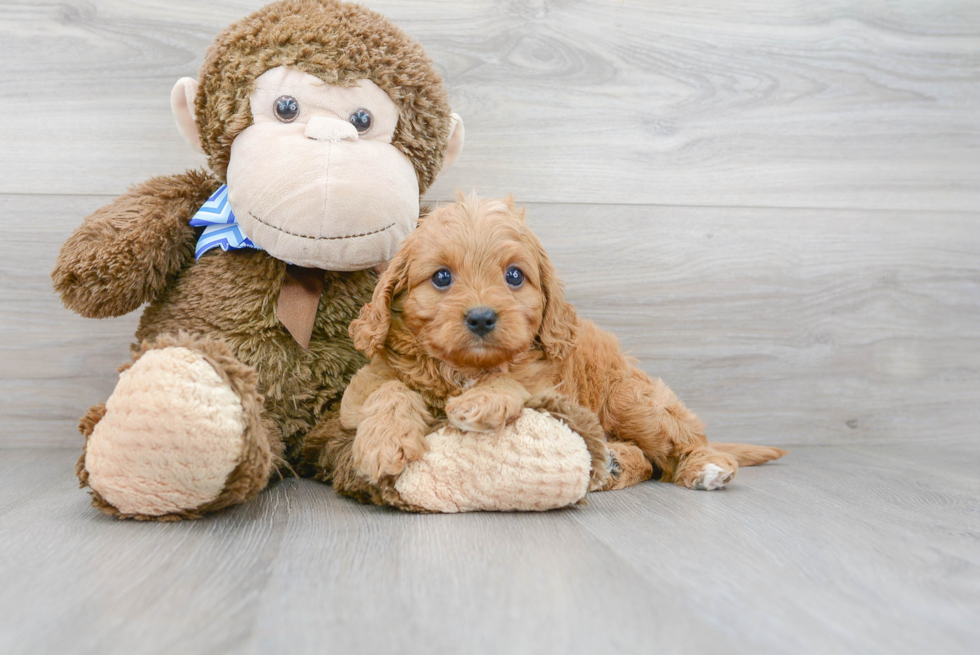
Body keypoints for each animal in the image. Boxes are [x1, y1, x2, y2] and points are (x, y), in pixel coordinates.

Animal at [340, 195, 784, 492]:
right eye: (442, 277)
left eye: (514, 276)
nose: (481, 317)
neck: (464, 369)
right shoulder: (361, 391)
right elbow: (389, 389)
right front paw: (382, 442)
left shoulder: (550, 392)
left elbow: (513, 381)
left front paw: (481, 400)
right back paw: (615, 463)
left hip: (630, 399)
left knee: (682, 444)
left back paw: (705, 467)